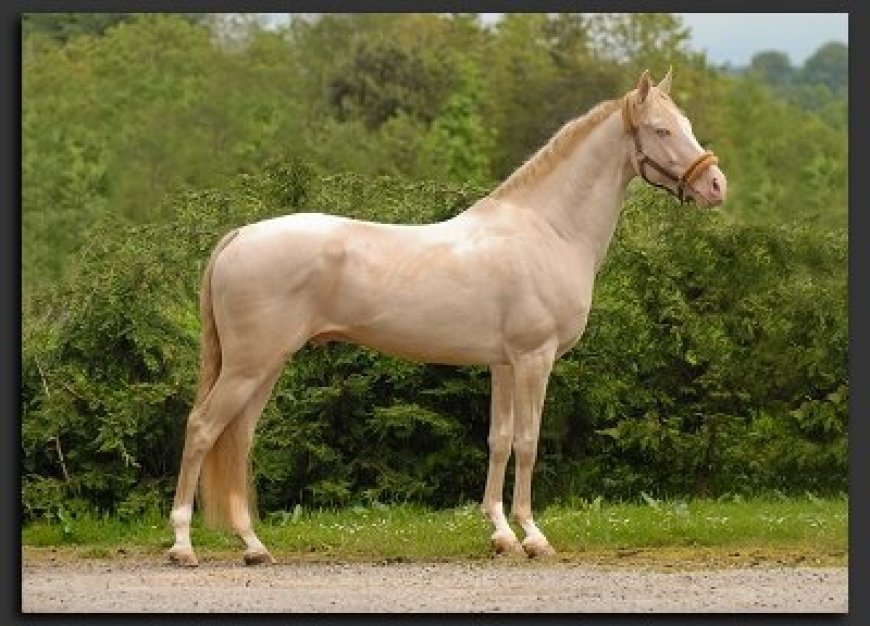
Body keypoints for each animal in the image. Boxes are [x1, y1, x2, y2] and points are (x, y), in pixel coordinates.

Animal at [167, 69, 726, 566]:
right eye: (661, 130)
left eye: (686, 122)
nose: (716, 185)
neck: (548, 229)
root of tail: (239, 236)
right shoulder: (534, 359)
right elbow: (527, 443)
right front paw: (533, 536)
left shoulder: (503, 364)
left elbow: (499, 441)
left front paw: (500, 534)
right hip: (250, 365)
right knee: (202, 429)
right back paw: (183, 545)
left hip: (265, 366)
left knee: (238, 439)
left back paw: (253, 546)